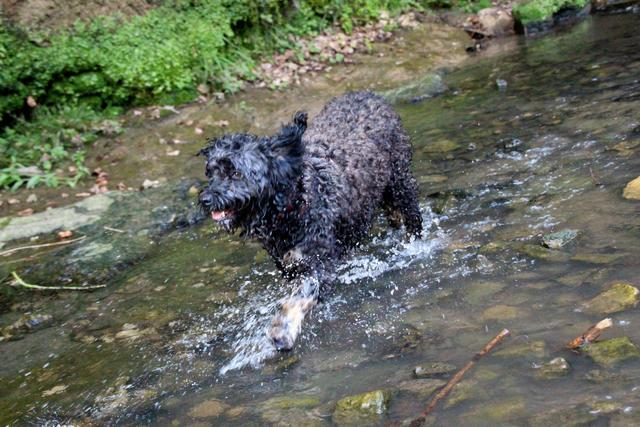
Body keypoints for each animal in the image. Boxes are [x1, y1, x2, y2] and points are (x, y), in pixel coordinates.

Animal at [198, 93, 422, 352]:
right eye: (211, 172)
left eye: (236, 173)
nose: (205, 199)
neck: (292, 201)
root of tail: (369, 95)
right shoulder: (289, 264)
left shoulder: (317, 262)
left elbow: (300, 297)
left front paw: (282, 330)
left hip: (400, 183)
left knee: (412, 217)